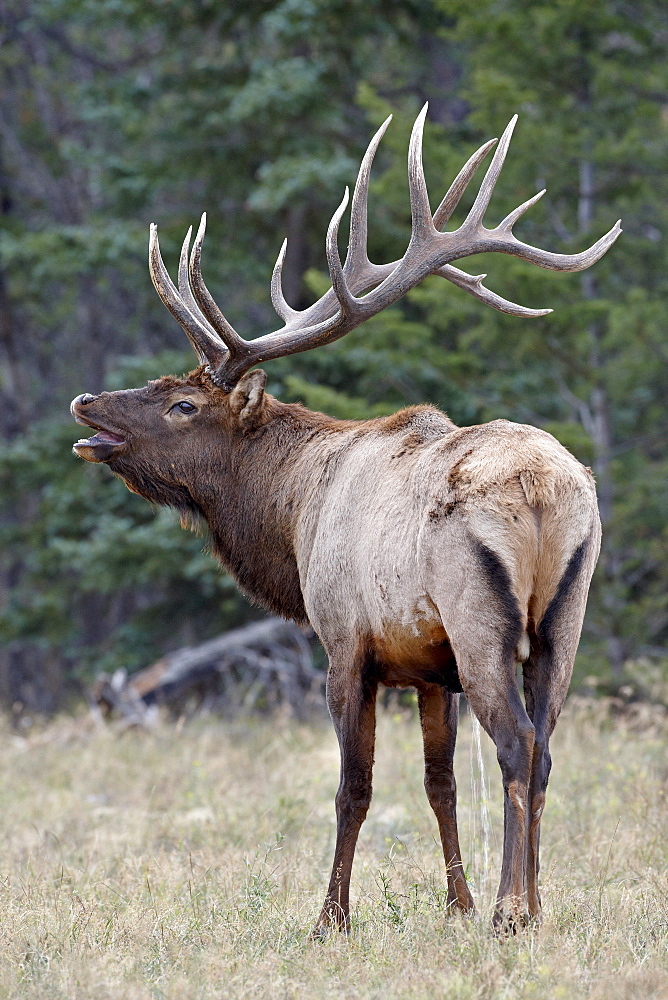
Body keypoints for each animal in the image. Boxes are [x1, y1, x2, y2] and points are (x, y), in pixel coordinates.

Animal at [70, 109, 620, 928]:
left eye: (183, 404)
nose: (86, 404)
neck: (294, 515)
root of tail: (548, 493)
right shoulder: (429, 665)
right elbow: (437, 783)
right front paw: (454, 904)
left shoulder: (345, 643)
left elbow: (352, 788)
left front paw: (332, 916)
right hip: (565, 617)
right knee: (547, 745)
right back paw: (534, 906)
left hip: (481, 616)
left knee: (517, 744)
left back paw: (509, 911)